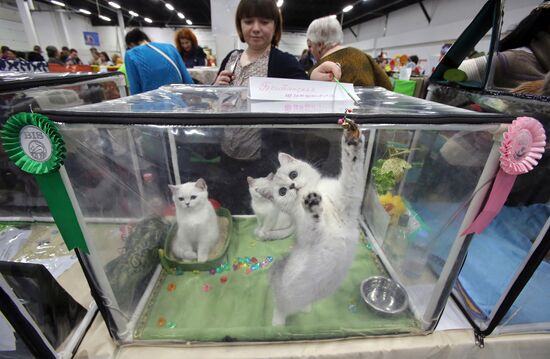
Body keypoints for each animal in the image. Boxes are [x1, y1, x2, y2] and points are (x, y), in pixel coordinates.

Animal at [260, 129, 368, 326]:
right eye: (282, 192)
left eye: (293, 174)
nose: (293, 186)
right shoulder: (307, 232)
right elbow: (314, 225)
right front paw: (312, 205)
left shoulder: (348, 197)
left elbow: (352, 172)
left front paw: (353, 144)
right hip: (283, 298)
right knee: (280, 308)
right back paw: (277, 325)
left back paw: (305, 309)